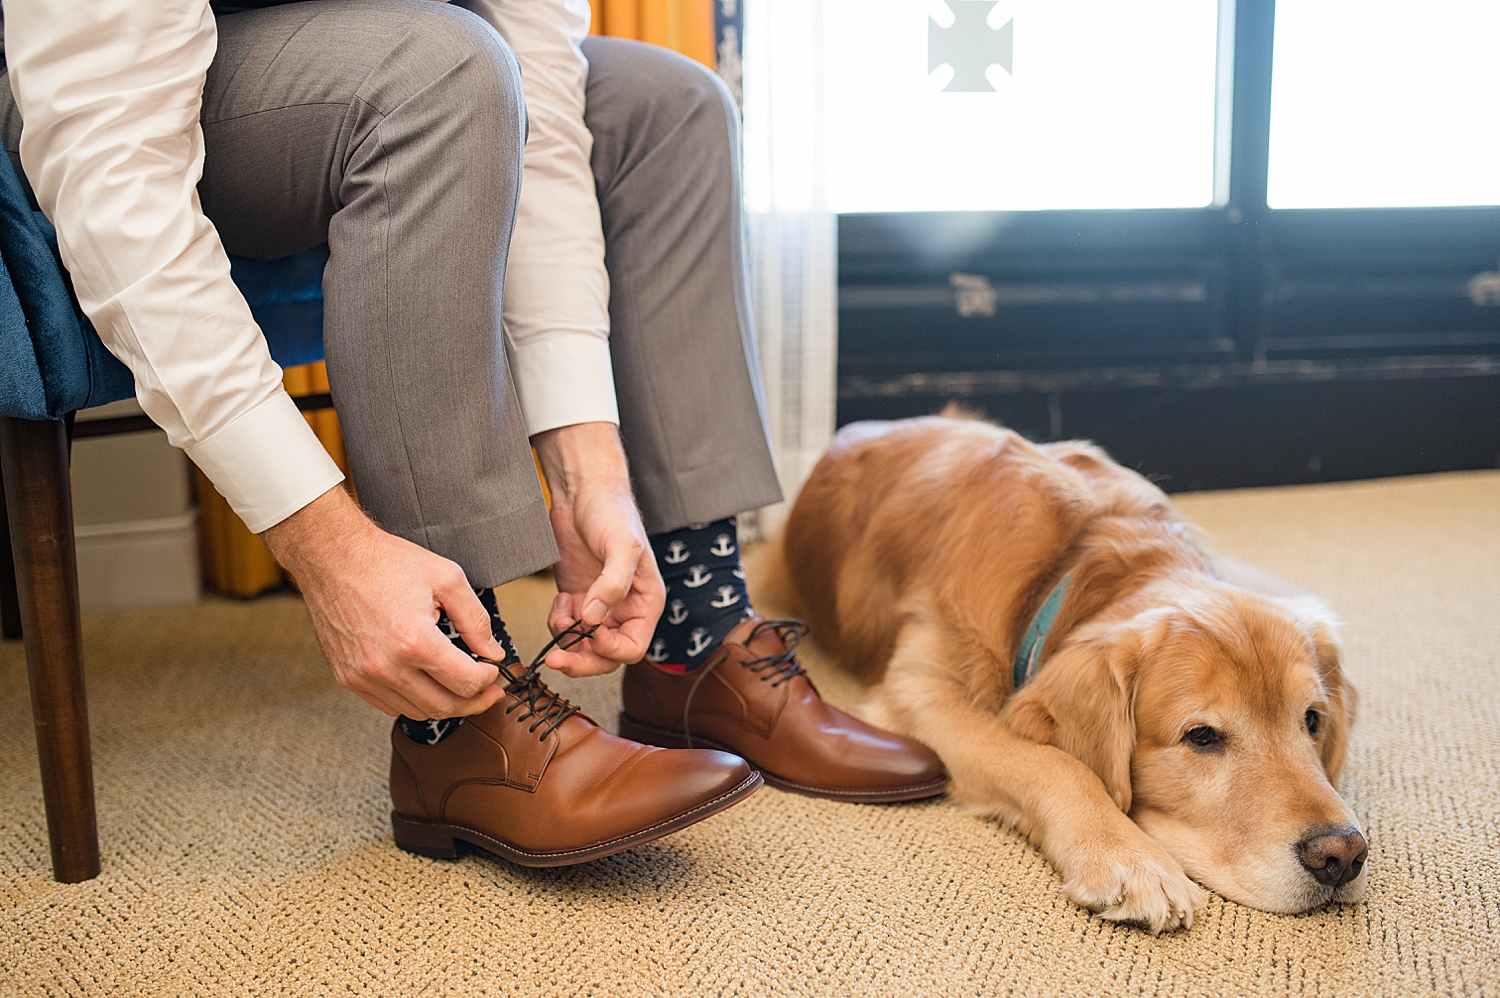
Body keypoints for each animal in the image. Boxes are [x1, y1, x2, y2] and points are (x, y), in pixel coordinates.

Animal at [780, 408, 1368, 930]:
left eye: (1312, 721)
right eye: (1201, 736)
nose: (1341, 855)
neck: (1071, 563)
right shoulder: (919, 691)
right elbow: (1055, 764)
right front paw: (1129, 858)